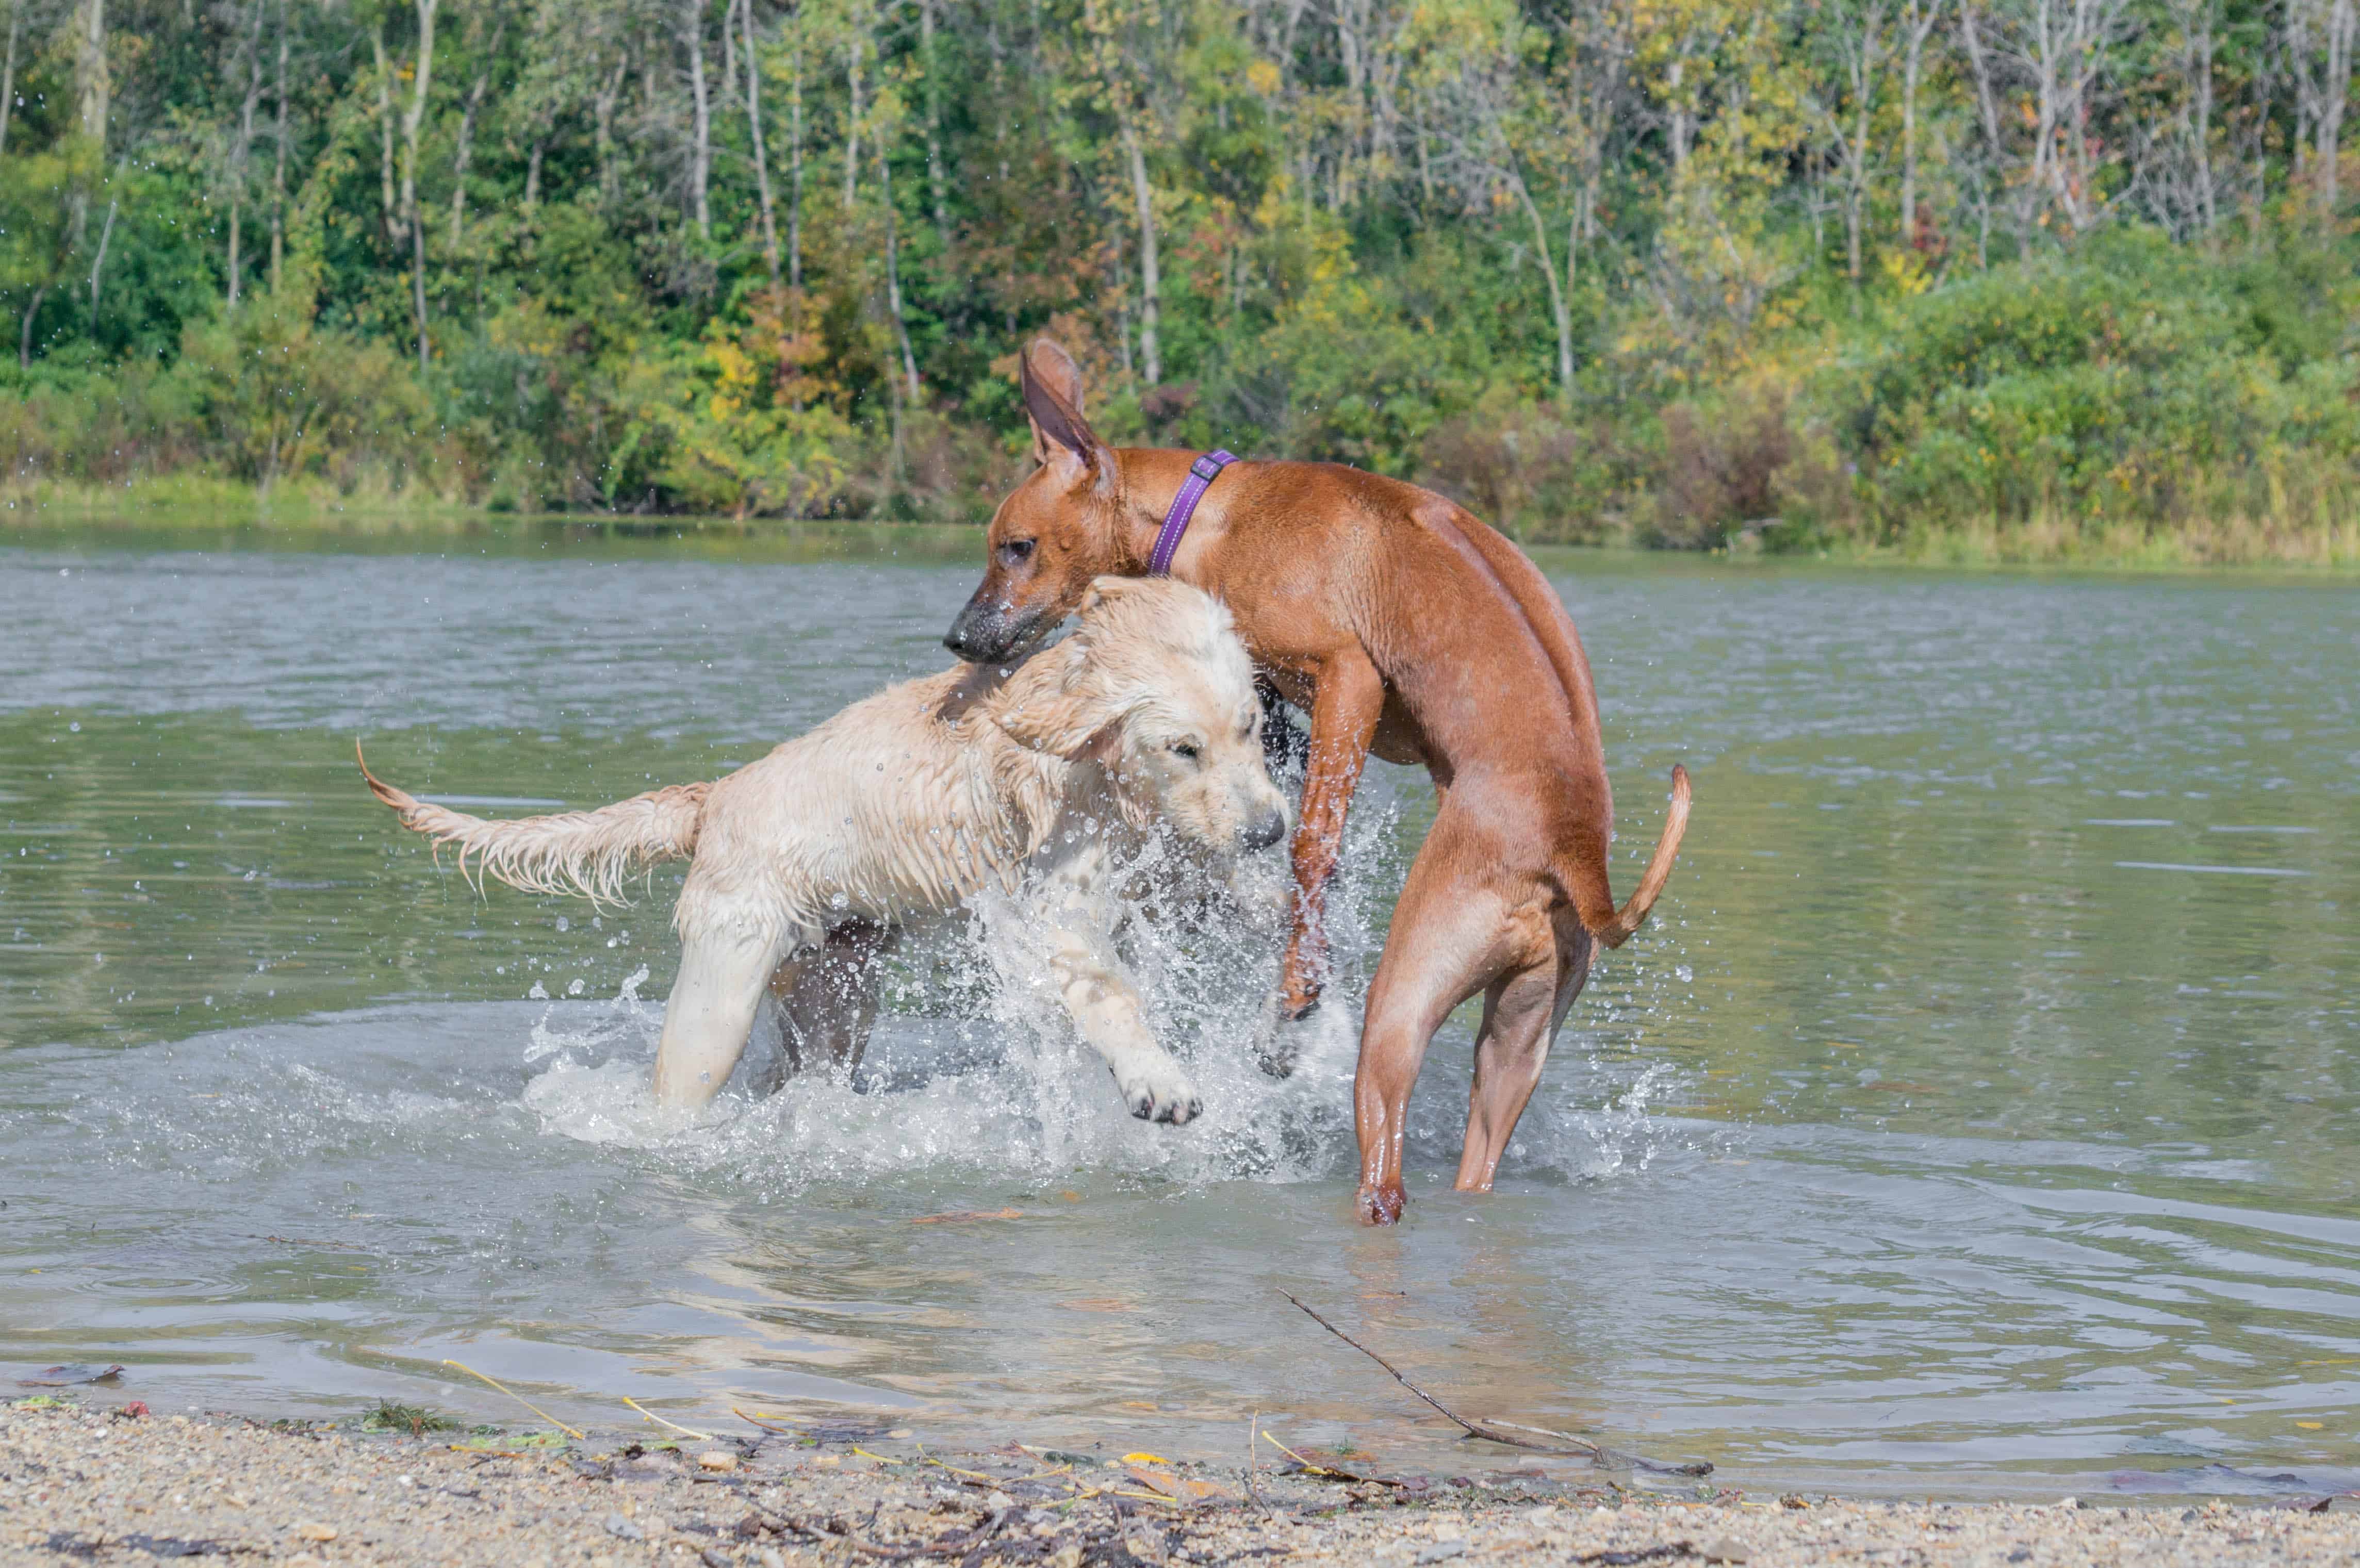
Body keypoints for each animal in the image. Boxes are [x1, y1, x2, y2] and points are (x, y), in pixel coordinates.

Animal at [363, 580, 1293, 1117]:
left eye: (1252, 727)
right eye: (1183, 749)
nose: (1271, 830)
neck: (1094, 764)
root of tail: (713, 799)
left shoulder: (1186, 867)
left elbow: (1256, 905)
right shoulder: (1056, 906)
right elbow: (1110, 993)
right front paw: (1160, 1080)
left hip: (836, 992)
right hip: (723, 991)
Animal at [944, 342, 1699, 1226]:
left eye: (1016, 546)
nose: (959, 636)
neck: (1208, 507)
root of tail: (1573, 852)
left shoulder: (1348, 678)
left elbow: (1311, 846)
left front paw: (1293, 1001)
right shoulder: (1274, 699)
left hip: (1401, 1007)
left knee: (1387, 1173)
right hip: (1516, 1045)